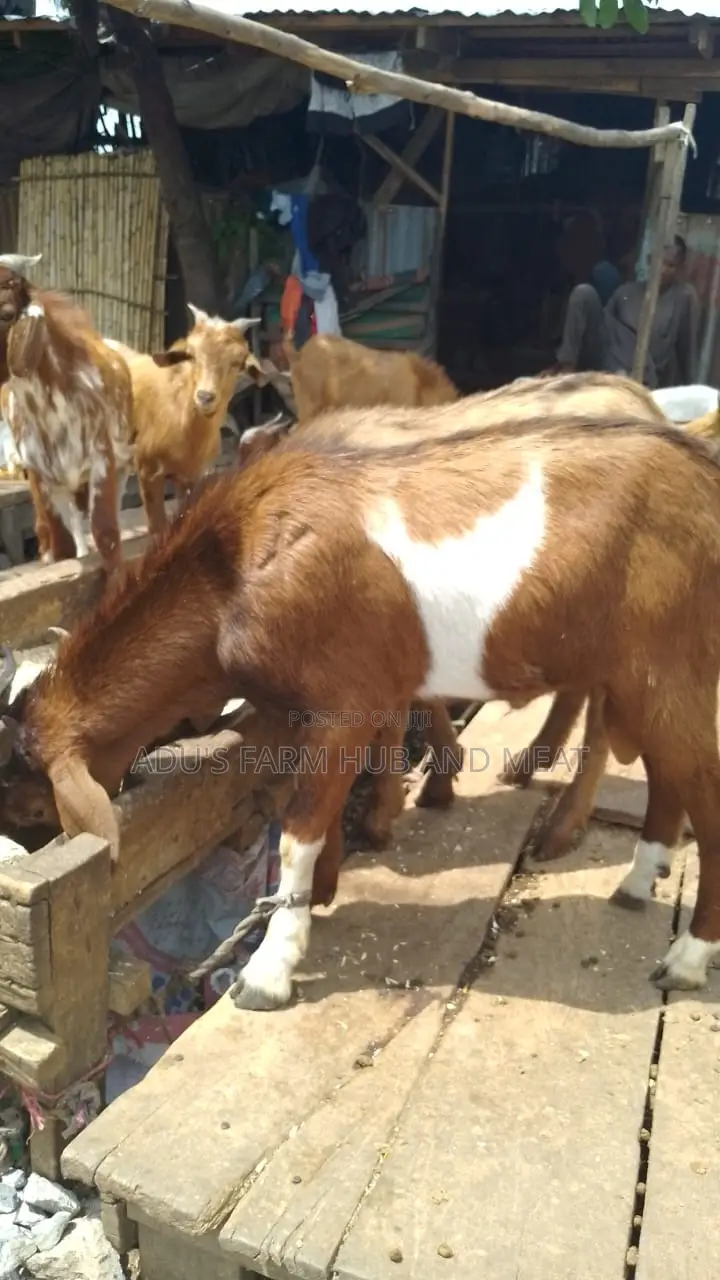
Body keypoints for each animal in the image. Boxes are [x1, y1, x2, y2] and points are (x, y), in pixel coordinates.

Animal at [4, 391, 720, 1009]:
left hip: (673, 668)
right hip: (647, 681)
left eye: (35, 804)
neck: (228, 569)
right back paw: (636, 883)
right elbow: (306, 811)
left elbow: (298, 829)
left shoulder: (345, 701)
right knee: (667, 776)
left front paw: (270, 968)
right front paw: (319, 894)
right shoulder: (303, 709)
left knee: (697, 786)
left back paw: (686, 956)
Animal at [105, 305, 264, 537]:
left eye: (237, 362)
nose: (205, 397)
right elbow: (158, 530)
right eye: (192, 356)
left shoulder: (192, 477)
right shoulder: (148, 472)